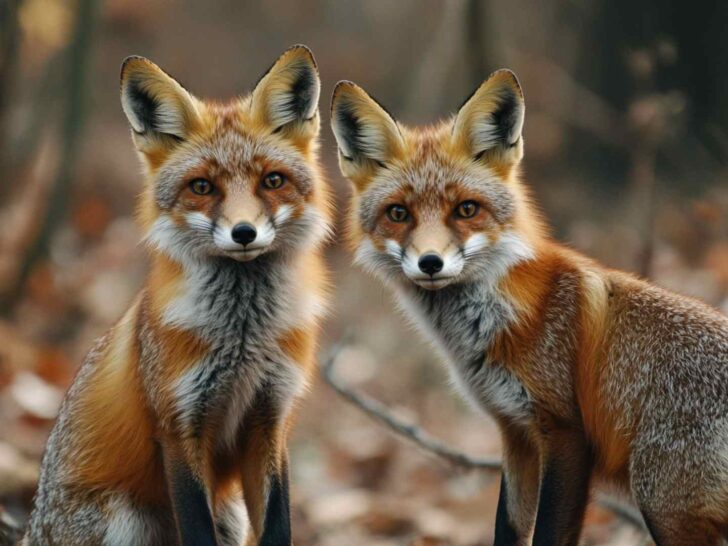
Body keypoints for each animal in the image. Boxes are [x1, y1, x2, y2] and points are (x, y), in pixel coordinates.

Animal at [23, 45, 331, 546]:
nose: (243, 233)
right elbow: (196, 527)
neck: (243, 338)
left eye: (272, 181)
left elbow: (278, 524)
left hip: (229, 515)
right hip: (125, 519)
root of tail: (34, 524)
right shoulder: (179, 426)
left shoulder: (271, 421)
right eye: (202, 187)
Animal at [331, 71, 728, 546]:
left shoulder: (565, 433)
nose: (430, 263)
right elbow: (509, 527)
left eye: (466, 209)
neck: (499, 321)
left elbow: (549, 534)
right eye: (398, 213)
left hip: (662, 504)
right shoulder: (515, 432)